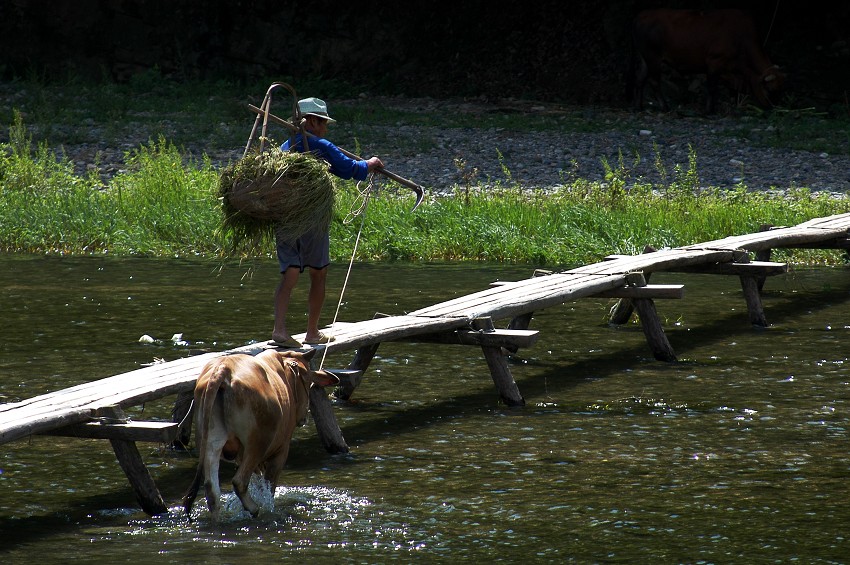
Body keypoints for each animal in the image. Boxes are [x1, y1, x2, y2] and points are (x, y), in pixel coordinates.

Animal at [182, 348, 338, 520]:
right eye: (308, 382)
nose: (304, 417)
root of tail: (223, 369)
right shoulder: (281, 451)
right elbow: (268, 488)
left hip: (211, 443)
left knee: (212, 491)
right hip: (257, 443)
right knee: (240, 481)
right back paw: (254, 509)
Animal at [628, 9, 780, 113]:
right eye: (770, 90)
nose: (774, 108)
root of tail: (639, 17)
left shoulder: (730, 70)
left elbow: (733, 87)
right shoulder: (714, 62)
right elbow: (712, 88)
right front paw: (709, 110)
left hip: (644, 58)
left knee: (640, 79)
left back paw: (638, 106)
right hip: (653, 57)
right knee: (654, 81)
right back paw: (664, 107)